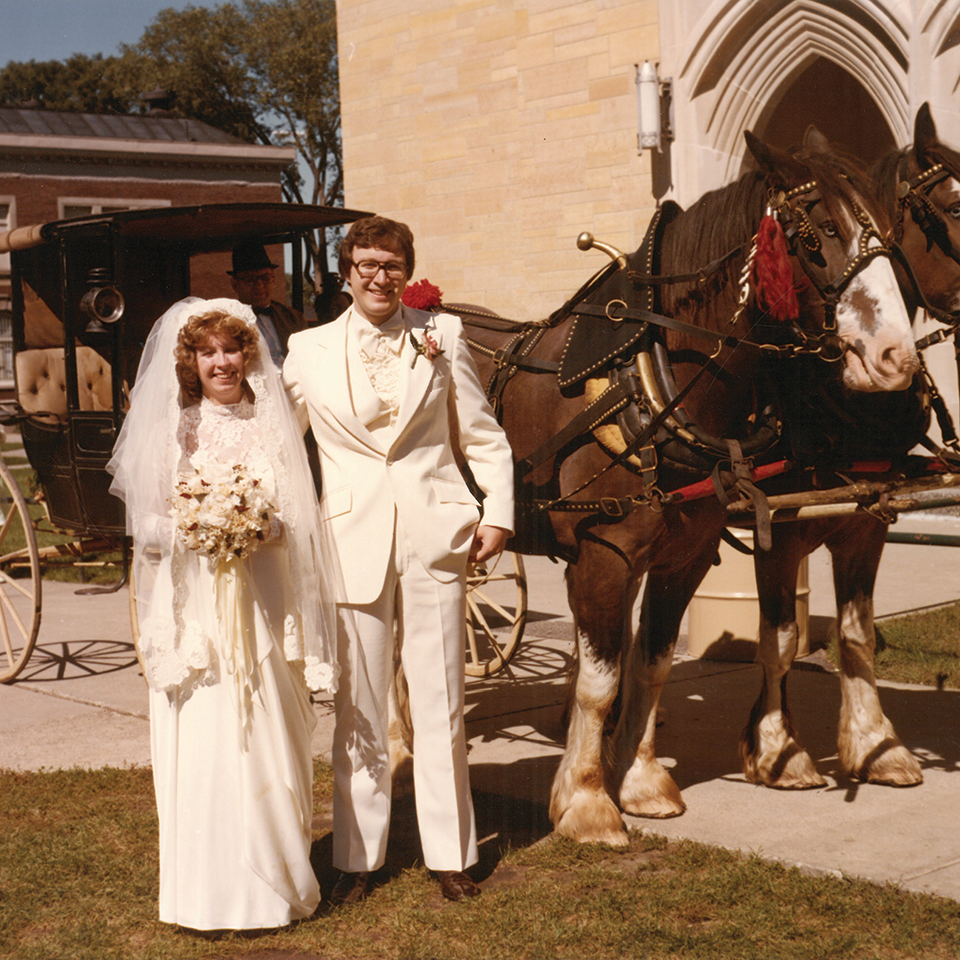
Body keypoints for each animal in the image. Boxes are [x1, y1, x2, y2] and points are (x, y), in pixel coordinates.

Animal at [457, 131, 917, 844]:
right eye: (816, 236)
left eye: (891, 234)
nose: (897, 357)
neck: (652, 378)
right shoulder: (605, 557)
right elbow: (600, 680)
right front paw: (587, 800)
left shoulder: (686, 556)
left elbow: (652, 663)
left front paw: (640, 780)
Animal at [740, 104, 960, 790]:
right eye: (956, 206)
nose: (894, 359)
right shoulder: (778, 526)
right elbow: (779, 638)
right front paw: (776, 748)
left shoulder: (868, 519)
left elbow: (857, 633)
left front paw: (875, 744)